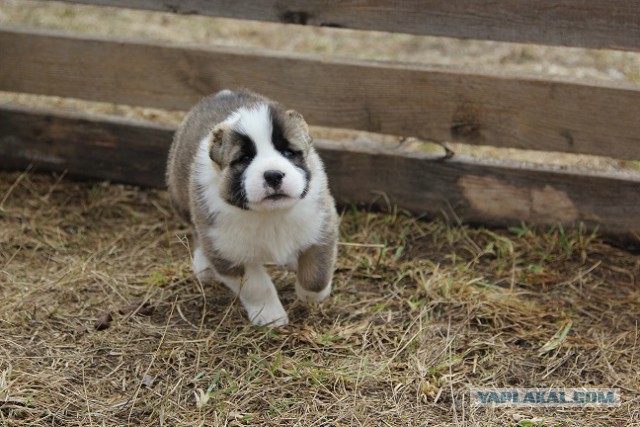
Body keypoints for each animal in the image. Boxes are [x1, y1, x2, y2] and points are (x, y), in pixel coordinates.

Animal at [168, 88, 340, 326]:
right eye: (245, 158)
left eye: (288, 152)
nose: (273, 175)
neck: (270, 214)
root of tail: (222, 93)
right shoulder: (229, 252)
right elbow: (256, 287)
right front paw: (270, 317)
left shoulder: (321, 224)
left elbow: (317, 273)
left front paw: (311, 296)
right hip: (182, 199)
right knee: (196, 231)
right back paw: (204, 266)